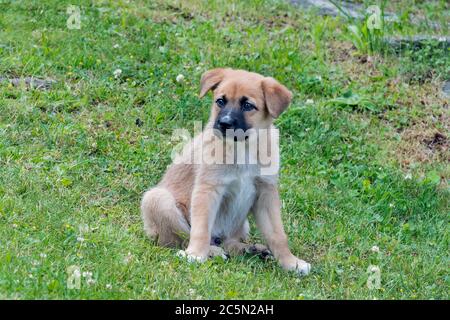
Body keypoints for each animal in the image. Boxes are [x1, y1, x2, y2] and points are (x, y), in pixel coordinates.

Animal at [142, 67, 312, 276]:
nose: (224, 123)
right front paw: (196, 254)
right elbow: (200, 229)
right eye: (220, 101)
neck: (243, 149)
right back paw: (211, 251)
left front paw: (291, 262)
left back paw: (251, 249)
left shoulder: (265, 192)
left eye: (247, 105)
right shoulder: (208, 188)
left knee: (229, 242)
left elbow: (277, 235)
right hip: (158, 200)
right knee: (183, 238)